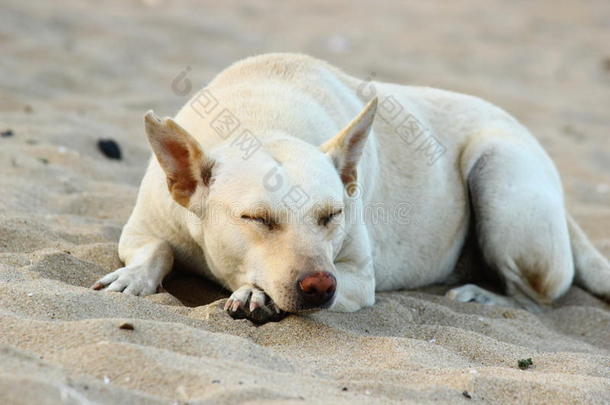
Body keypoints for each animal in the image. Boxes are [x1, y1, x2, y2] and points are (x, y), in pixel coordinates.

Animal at [91, 52, 608, 322]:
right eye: (256, 219)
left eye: (331, 216)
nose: (320, 284)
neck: (265, 122)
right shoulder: (141, 229)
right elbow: (157, 249)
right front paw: (133, 278)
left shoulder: (357, 278)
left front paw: (256, 295)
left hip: (500, 171)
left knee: (537, 297)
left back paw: (484, 295)